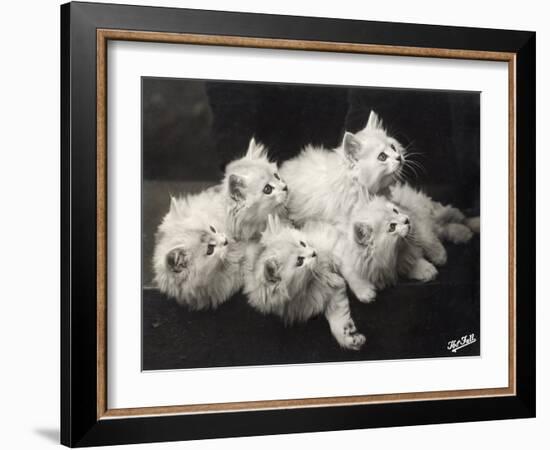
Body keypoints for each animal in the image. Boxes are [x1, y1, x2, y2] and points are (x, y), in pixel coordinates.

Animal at [246, 215, 366, 352]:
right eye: (299, 261)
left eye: (303, 243)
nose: (314, 252)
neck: (308, 282)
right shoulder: (327, 292)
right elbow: (338, 319)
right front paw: (348, 337)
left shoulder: (332, 242)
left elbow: (349, 268)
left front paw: (364, 290)